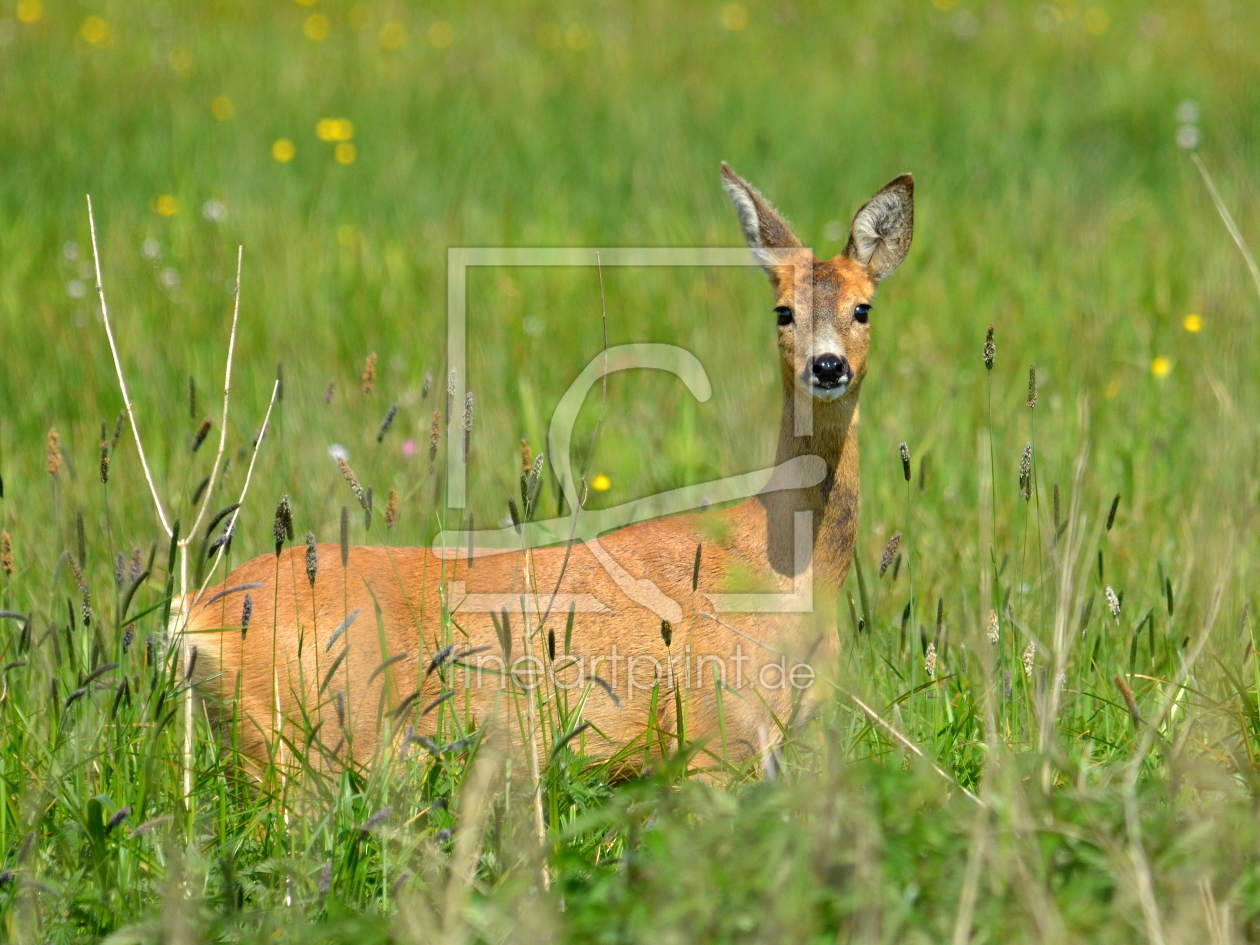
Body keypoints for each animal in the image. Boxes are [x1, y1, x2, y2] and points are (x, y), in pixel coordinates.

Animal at [182, 165, 912, 776]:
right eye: (783, 311)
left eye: (863, 307)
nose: (827, 366)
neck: (782, 566)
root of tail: (194, 618)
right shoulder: (715, 736)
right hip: (304, 741)